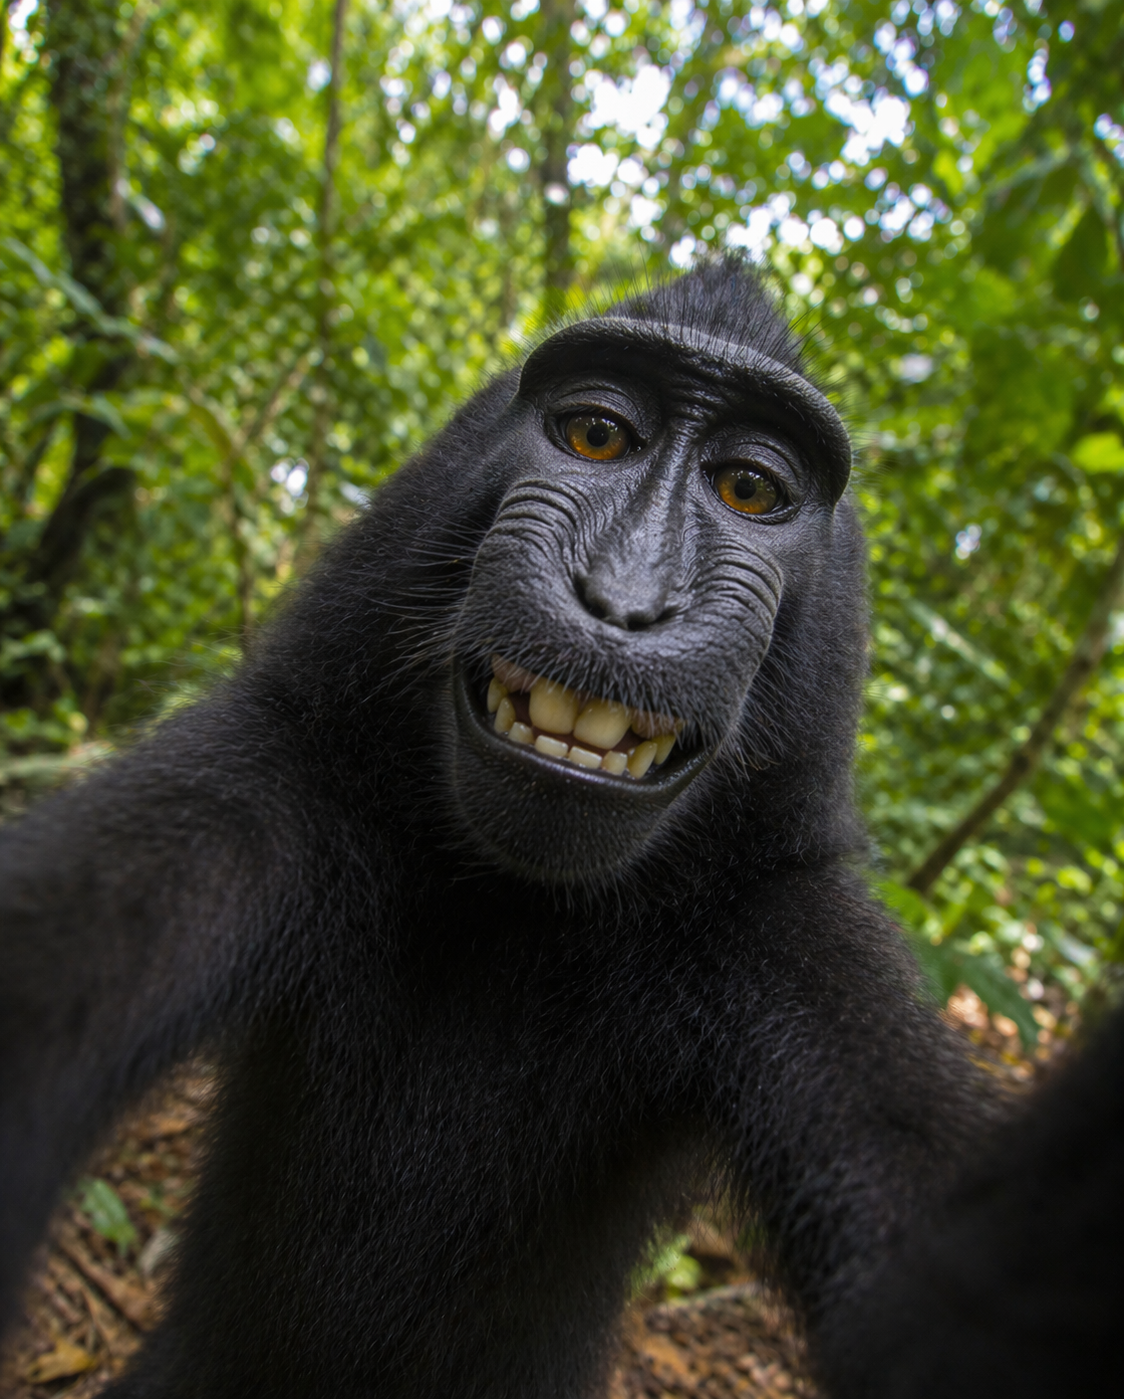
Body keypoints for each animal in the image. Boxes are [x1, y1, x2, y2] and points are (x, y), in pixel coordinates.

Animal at [0, 257, 993, 1398]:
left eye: (749, 489)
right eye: (596, 434)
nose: (624, 599)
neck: (514, 905)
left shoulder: (783, 933)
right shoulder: (263, 777)